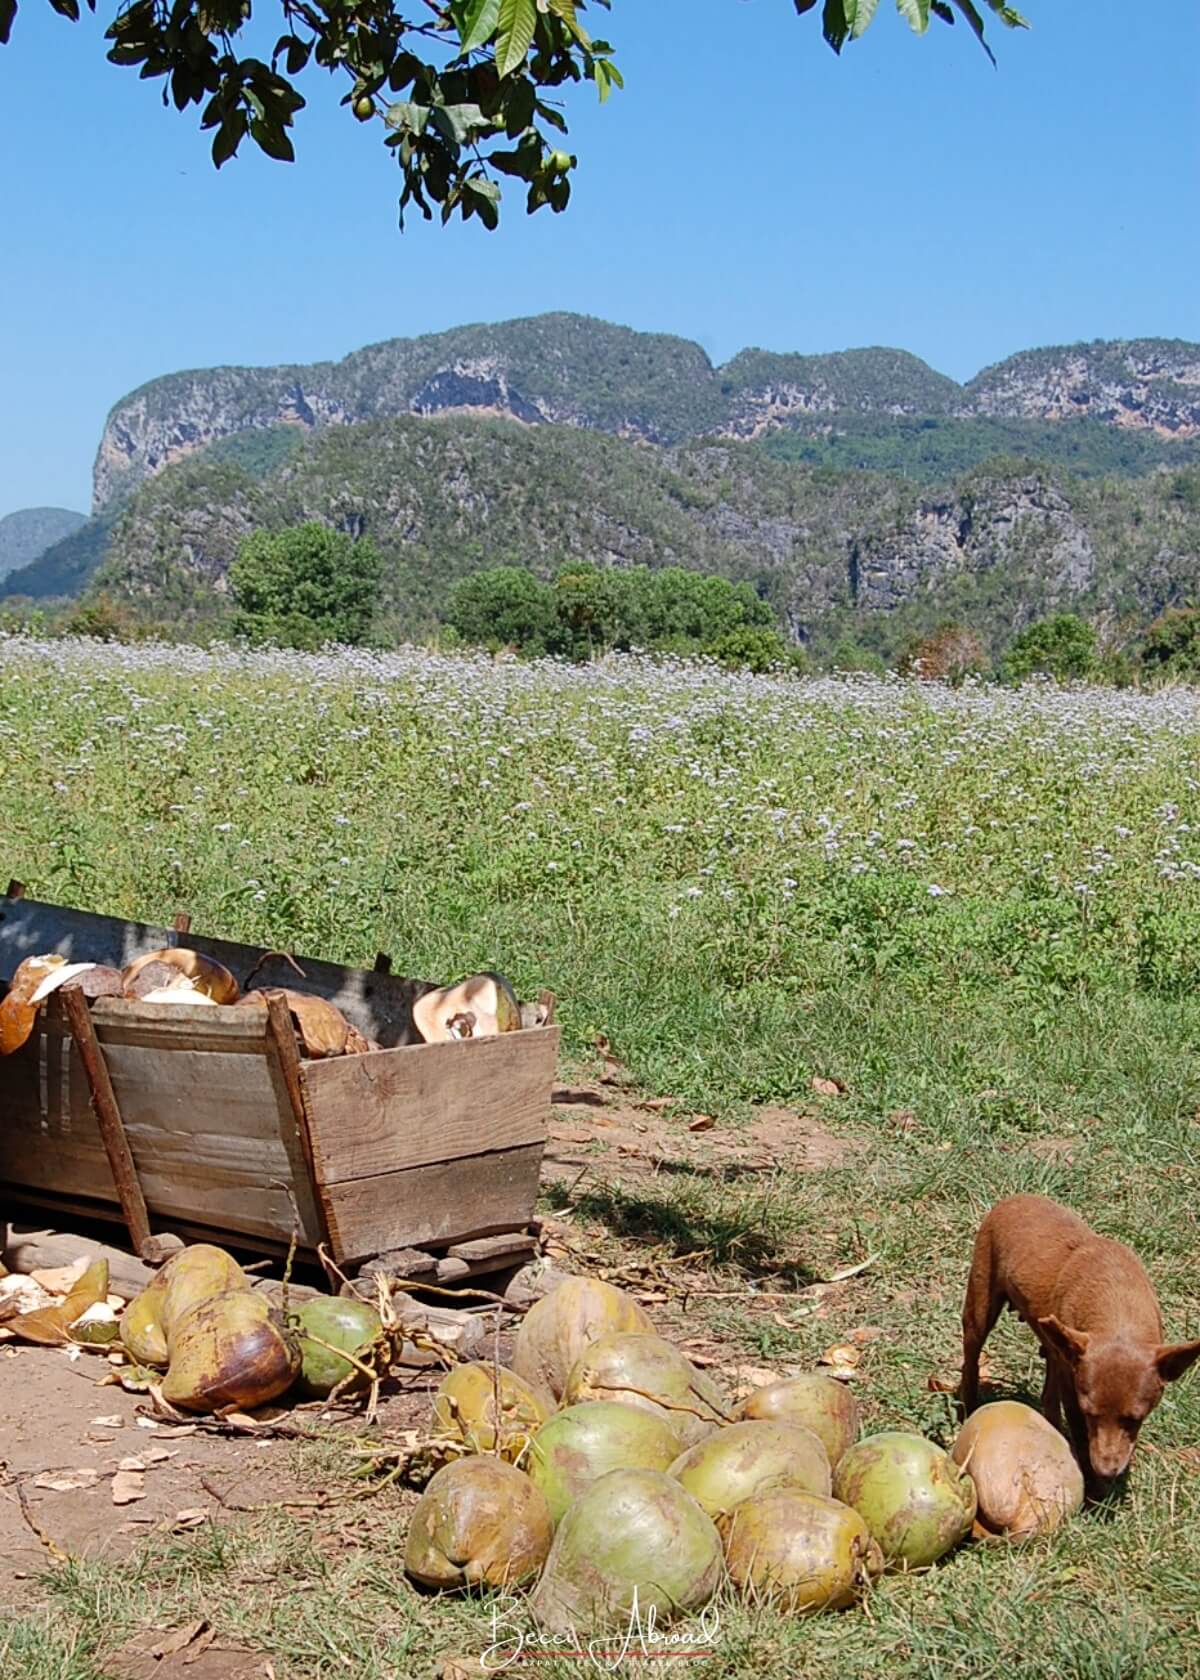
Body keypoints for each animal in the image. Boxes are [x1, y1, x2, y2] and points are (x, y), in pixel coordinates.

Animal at [961, 1196, 1200, 1485]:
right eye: (1090, 1414)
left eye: (1135, 1419)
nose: (1107, 1471)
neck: (1118, 1314)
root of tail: (1013, 1198)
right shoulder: (1072, 1389)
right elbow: (1080, 1434)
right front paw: (1094, 1485)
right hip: (979, 1310)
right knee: (971, 1361)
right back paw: (966, 1406)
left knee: (1048, 1392)